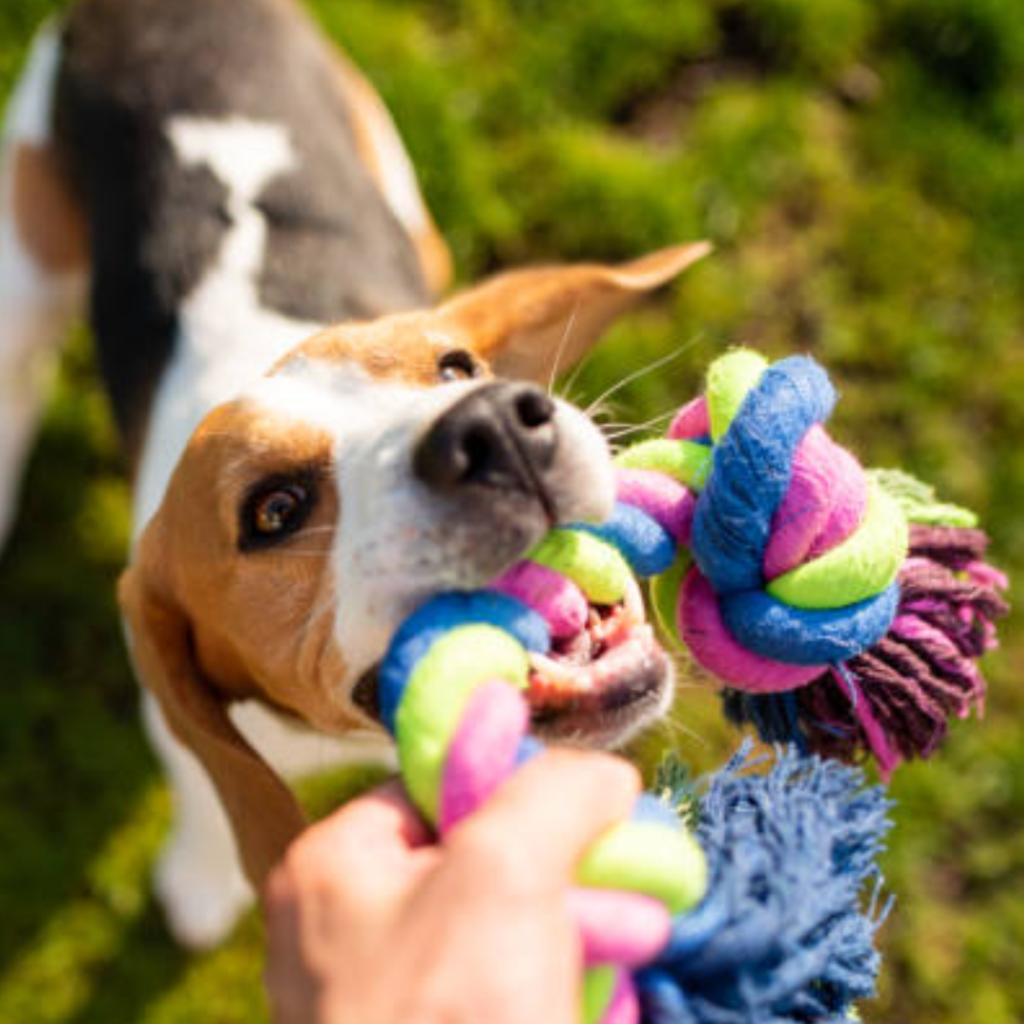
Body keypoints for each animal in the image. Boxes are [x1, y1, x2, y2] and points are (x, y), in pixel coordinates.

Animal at [0, 0, 704, 946]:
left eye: (456, 368)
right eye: (274, 510)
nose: (494, 427)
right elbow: (203, 786)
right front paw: (202, 880)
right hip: (25, 266)